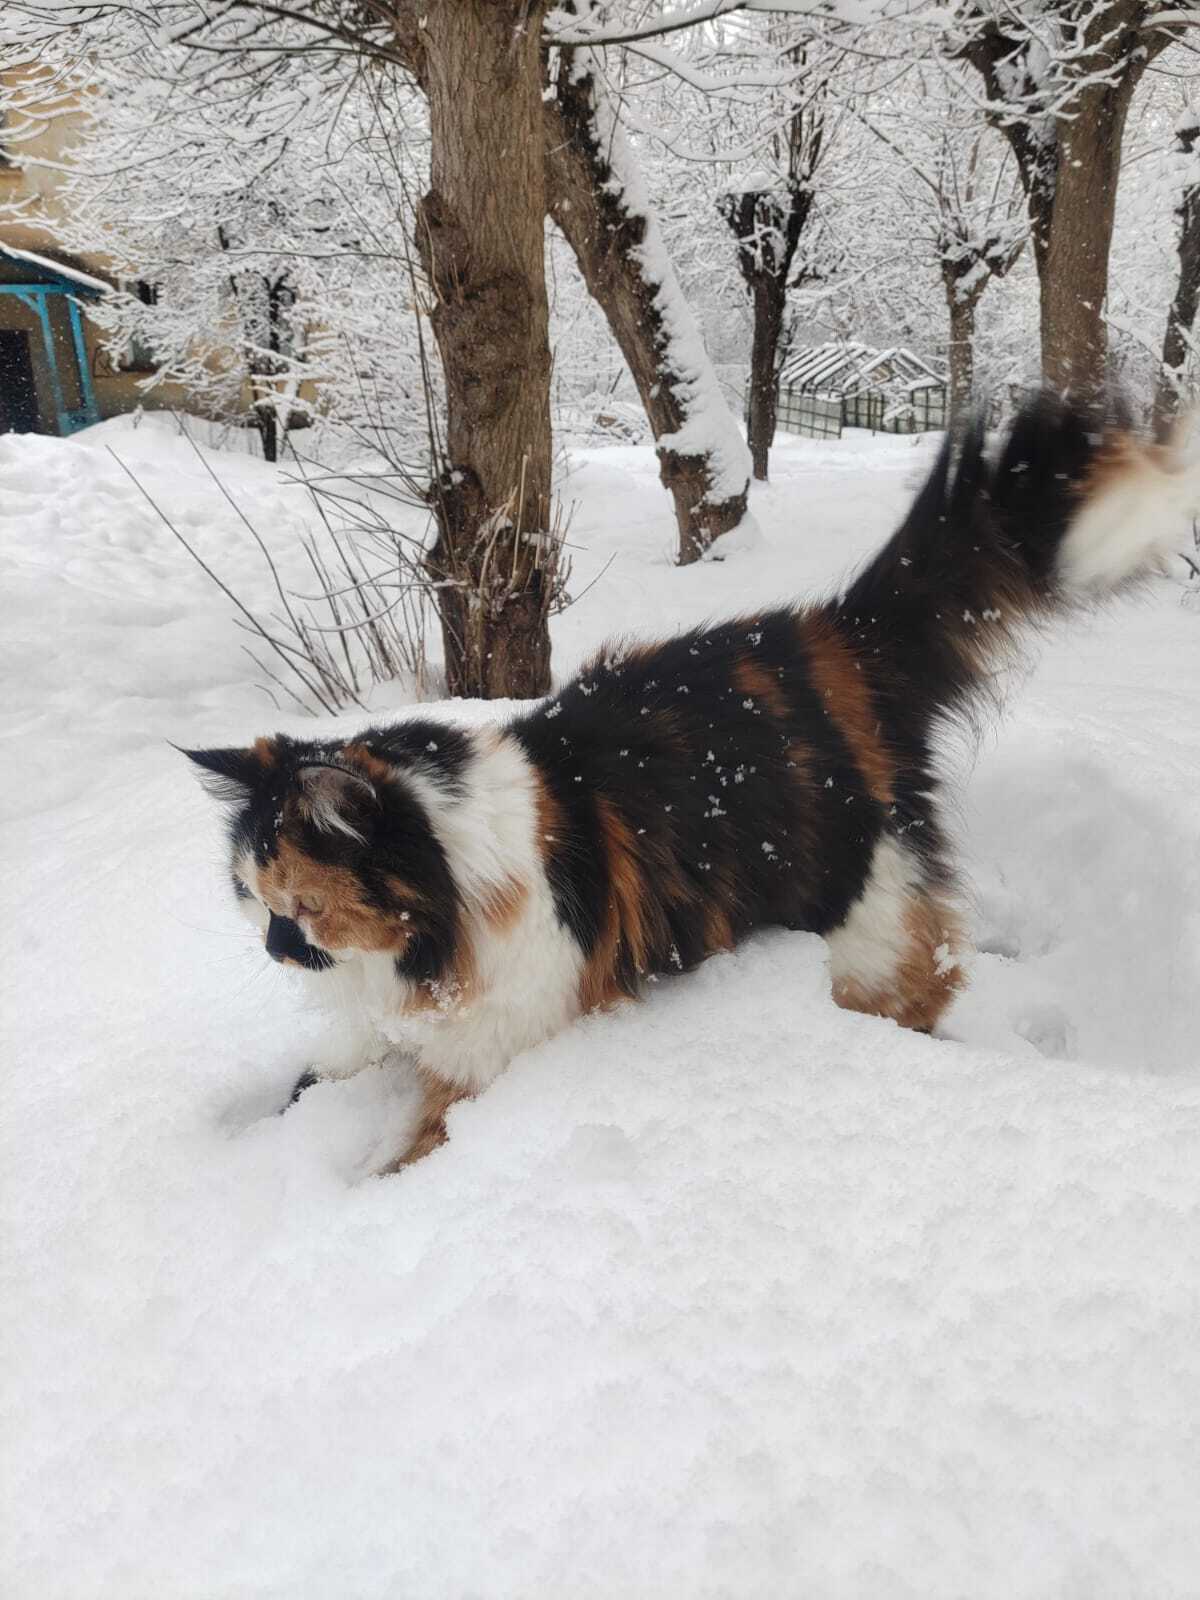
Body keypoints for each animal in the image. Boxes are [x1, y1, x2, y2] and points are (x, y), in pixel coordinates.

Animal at [183, 400, 1196, 1171]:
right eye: (253, 902)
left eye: (303, 909)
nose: (275, 950)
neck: (443, 902)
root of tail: (838, 634)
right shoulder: (380, 1029)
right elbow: (311, 1082)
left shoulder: (488, 1050)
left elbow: (412, 1150)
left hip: (864, 919)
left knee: (923, 987)